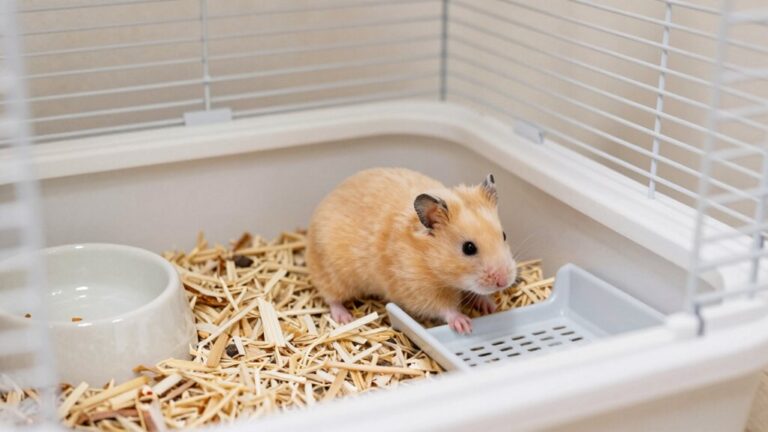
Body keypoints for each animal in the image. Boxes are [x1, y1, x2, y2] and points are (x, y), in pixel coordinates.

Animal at [306, 168, 517, 334]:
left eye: (504, 235)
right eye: (469, 248)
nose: (503, 282)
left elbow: (478, 293)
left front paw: (491, 306)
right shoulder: (416, 289)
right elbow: (443, 307)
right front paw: (464, 324)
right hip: (332, 273)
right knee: (331, 297)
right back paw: (345, 318)